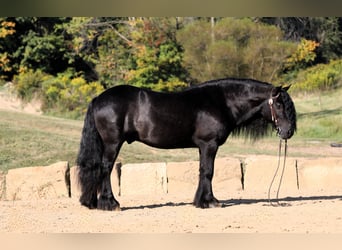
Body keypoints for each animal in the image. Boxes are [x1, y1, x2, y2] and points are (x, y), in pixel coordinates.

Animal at [76, 77, 296, 210]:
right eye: (278, 104)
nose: (288, 132)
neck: (222, 102)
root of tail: (98, 99)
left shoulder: (203, 147)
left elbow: (202, 171)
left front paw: (201, 200)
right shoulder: (209, 144)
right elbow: (208, 171)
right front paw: (210, 201)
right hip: (113, 143)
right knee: (105, 168)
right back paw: (110, 203)